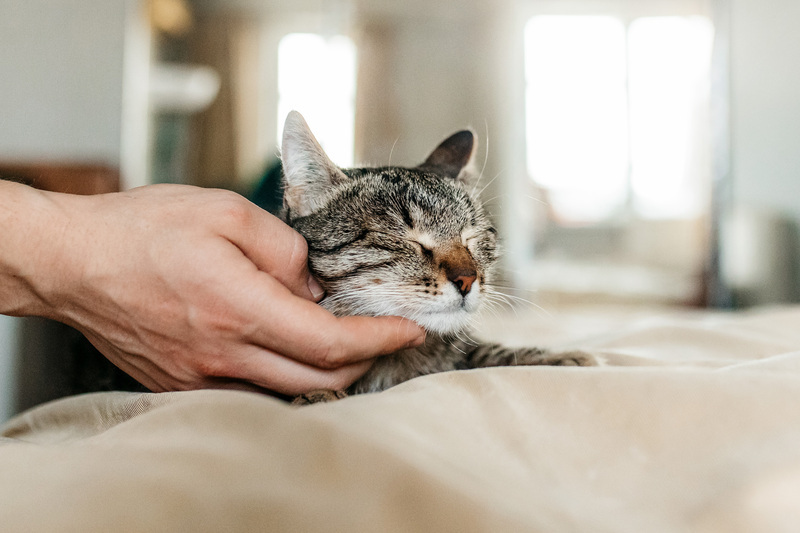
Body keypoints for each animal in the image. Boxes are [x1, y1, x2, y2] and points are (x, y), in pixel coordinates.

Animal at [282, 112, 592, 404]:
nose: (467, 279)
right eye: (405, 238)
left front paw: (557, 358)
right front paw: (317, 395)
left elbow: (485, 353)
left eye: (472, 236)